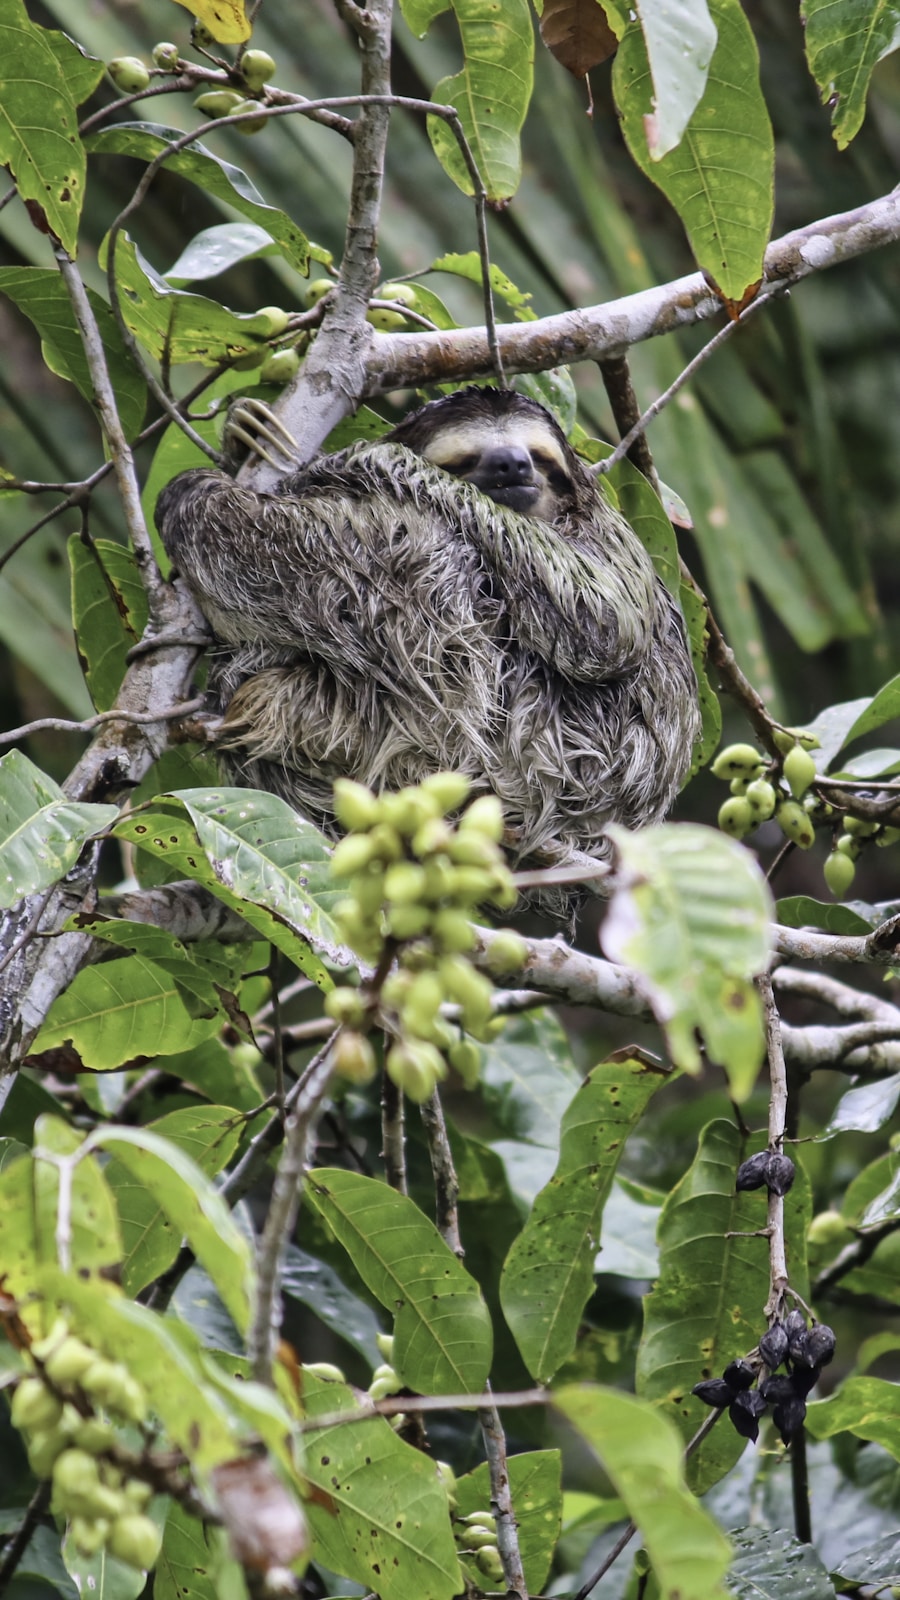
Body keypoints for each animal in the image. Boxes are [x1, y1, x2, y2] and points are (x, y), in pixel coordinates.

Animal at [155, 386, 700, 881]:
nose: (512, 464)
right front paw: (243, 432)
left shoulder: (608, 532)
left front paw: (366, 458)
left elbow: (607, 619)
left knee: (415, 547)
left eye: (539, 457)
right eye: (467, 457)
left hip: (534, 751)